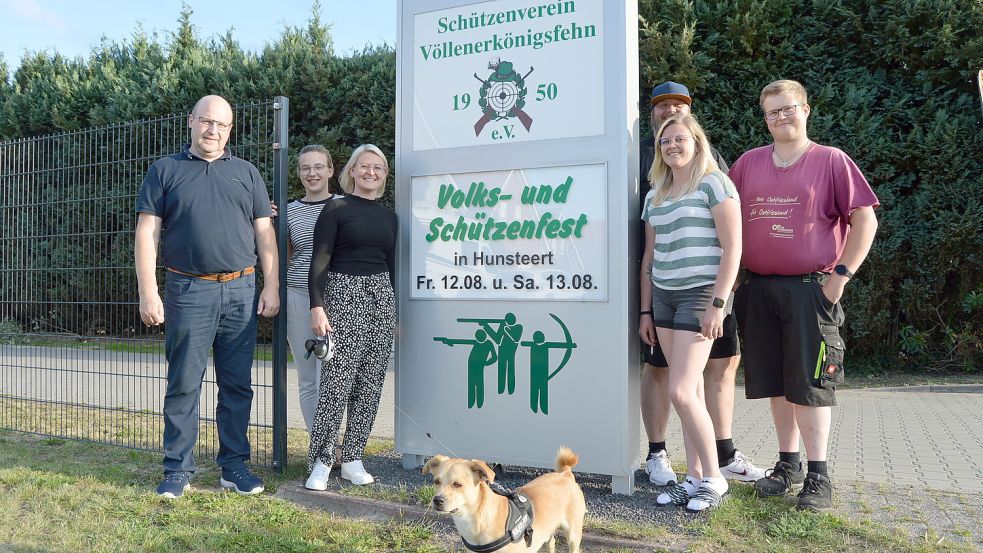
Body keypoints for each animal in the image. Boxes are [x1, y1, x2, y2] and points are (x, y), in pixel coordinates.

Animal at [422, 446, 584, 548]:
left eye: (457, 484)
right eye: (436, 481)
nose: (437, 500)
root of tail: (565, 474)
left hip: (573, 534)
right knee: (551, 544)